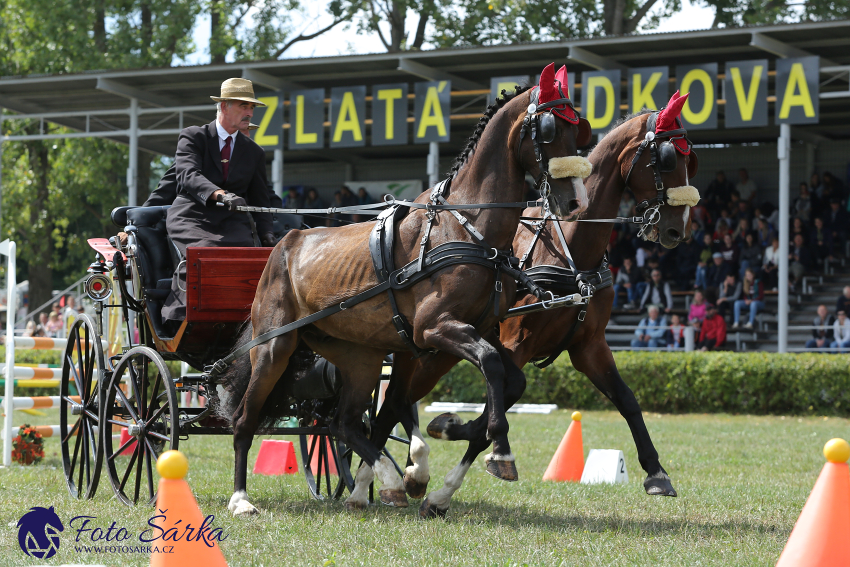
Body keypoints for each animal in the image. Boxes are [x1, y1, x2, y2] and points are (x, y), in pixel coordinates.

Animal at [220, 64, 588, 516]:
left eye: (579, 128)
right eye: (550, 129)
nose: (576, 203)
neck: (467, 226)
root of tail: (285, 243)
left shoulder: (474, 329)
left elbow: (509, 378)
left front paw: (450, 460)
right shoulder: (433, 328)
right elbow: (490, 365)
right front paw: (498, 452)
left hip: (359, 356)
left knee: (344, 423)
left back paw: (384, 482)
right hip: (274, 347)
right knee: (246, 419)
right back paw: (242, 498)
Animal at [374, 90, 700, 520]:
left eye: (690, 159)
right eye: (666, 159)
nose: (678, 229)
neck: (569, 247)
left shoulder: (589, 346)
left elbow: (627, 400)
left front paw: (656, 472)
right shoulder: (515, 343)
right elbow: (502, 399)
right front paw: (463, 448)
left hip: (433, 351)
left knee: (392, 406)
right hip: (429, 349)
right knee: (394, 403)